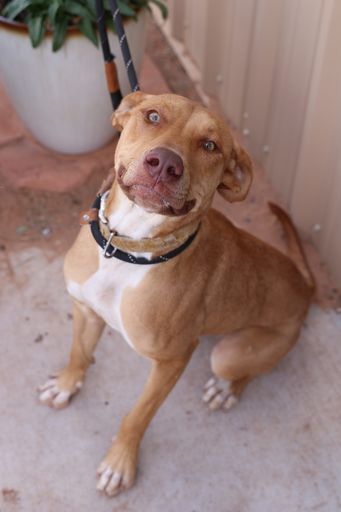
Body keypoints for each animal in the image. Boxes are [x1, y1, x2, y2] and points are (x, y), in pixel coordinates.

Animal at [37, 92, 314, 496]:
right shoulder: (86, 310)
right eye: (153, 116)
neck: (129, 248)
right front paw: (66, 384)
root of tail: (305, 288)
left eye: (210, 145)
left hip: (228, 354)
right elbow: (79, 354)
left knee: (243, 372)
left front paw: (120, 462)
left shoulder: (173, 361)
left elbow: (138, 415)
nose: (166, 163)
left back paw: (225, 390)